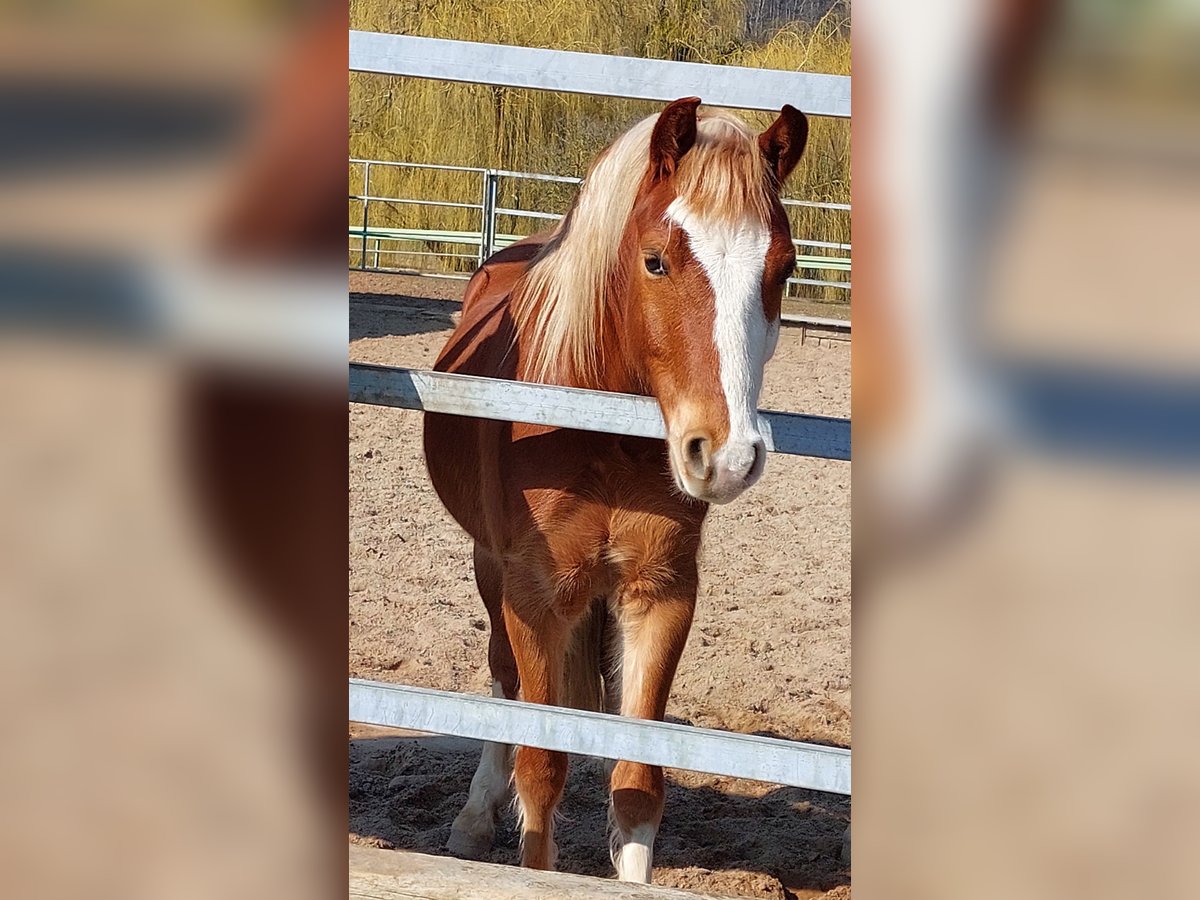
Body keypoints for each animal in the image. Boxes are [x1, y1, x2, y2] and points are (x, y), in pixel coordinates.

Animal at [423, 97, 809, 882]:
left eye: (783, 268)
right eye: (656, 260)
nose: (727, 456)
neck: (594, 434)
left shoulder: (660, 594)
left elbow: (636, 781)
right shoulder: (535, 597)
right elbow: (540, 770)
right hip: (489, 567)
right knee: (502, 679)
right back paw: (474, 819)